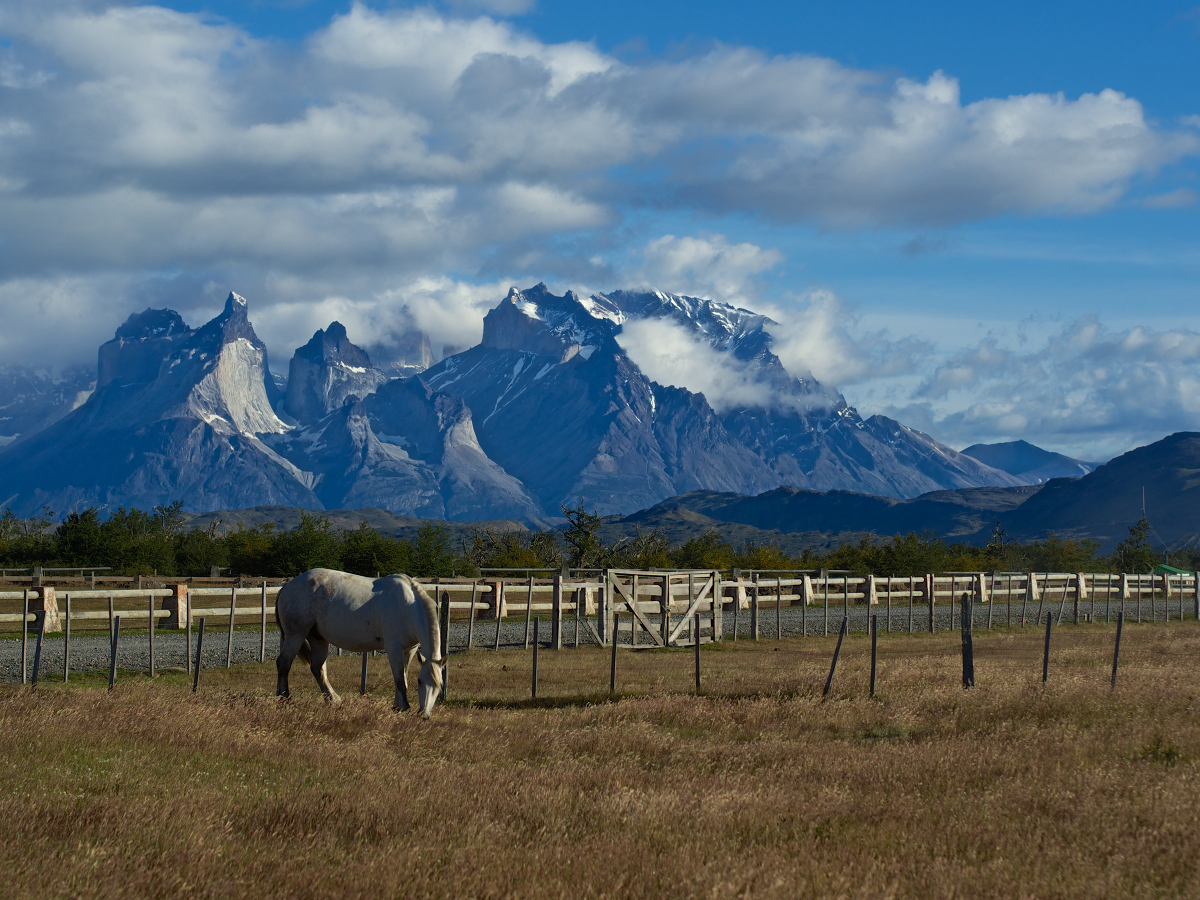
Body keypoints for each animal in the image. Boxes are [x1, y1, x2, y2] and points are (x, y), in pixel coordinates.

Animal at [273, 571, 446, 720]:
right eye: (420, 681)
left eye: (439, 686)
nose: (424, 715)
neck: (407, 606)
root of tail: (287, 586)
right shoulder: (394, 648)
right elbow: (399, 681)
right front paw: (404, 708)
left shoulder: (409, 650)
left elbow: (403, 677)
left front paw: (397, 706)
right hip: (295, 636)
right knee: (284, 664)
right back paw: (284, 698)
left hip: (318, 638)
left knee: (317, 668)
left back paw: (333, 700)